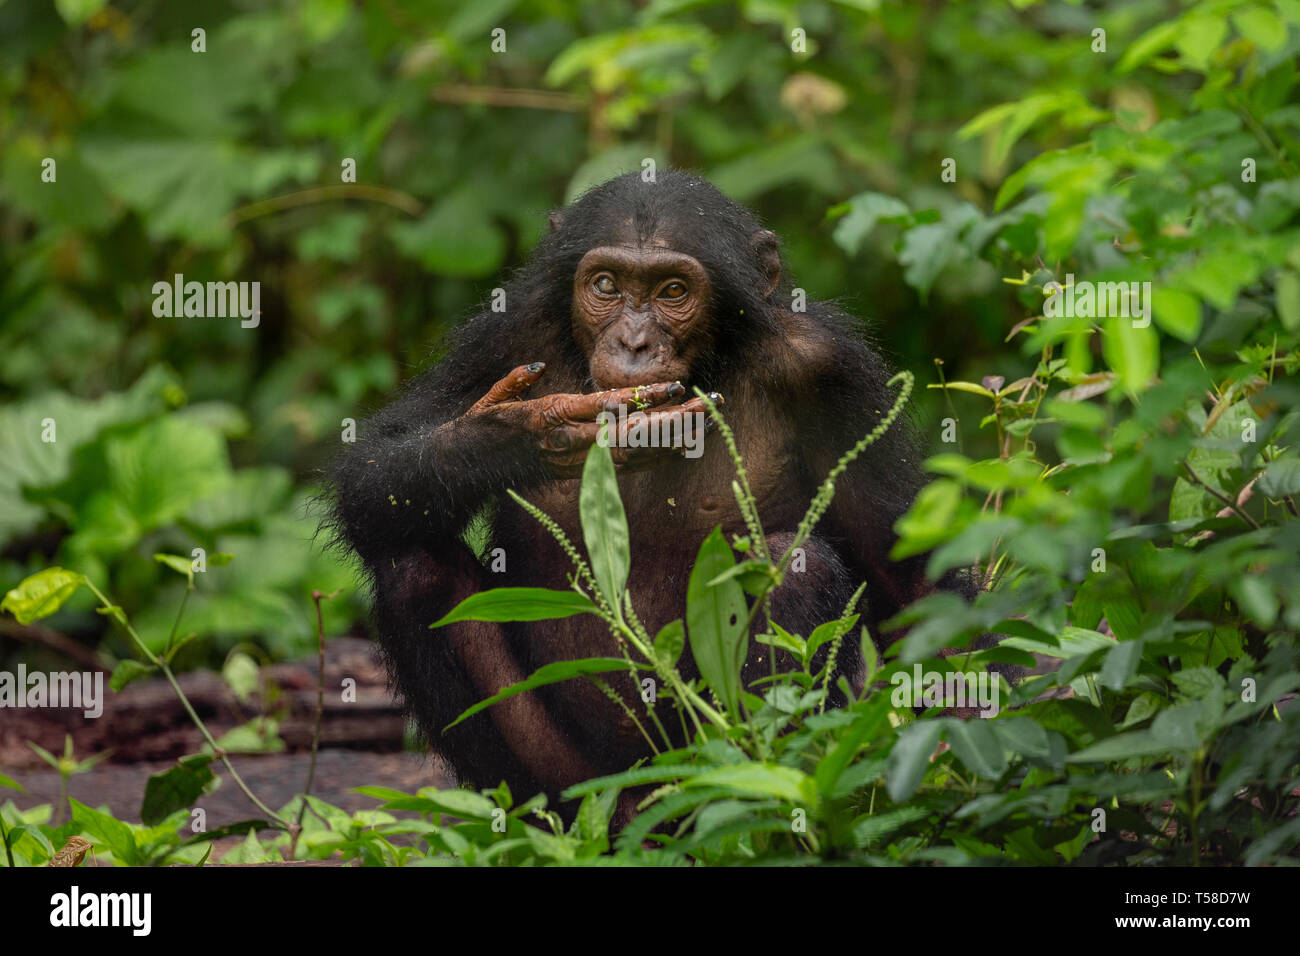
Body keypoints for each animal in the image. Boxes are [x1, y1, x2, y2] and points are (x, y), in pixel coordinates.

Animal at [330, 170, 987, 806]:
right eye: (606, 284)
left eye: (673, 291)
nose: (634, 342)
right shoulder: (505, 336)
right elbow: (373, 470)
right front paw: (531, 431)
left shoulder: (826, 367)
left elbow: (905, 574)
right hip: (576, 775)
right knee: (416, 568)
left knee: (795, 565)